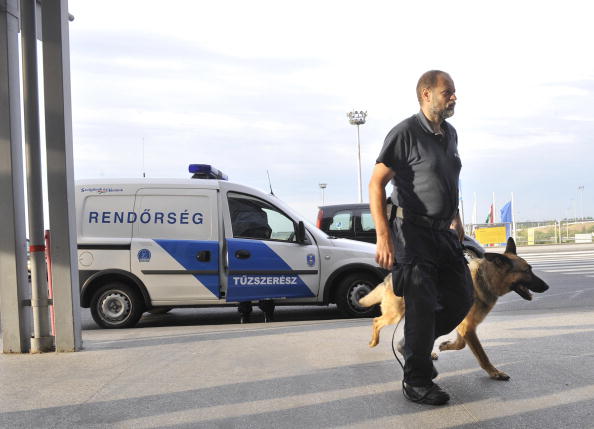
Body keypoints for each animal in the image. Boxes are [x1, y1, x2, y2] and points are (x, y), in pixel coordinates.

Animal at [356, 236, 544, 380]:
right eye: (527, 271)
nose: (547, 286)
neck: (484, 279)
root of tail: (390, 276)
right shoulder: (467, 327)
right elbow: (481, 354)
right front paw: (494, 372)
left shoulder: (465, 326)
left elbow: (460, 344)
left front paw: (445, 345)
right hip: (395, 314)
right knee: (377, 320)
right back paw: (374, 341)